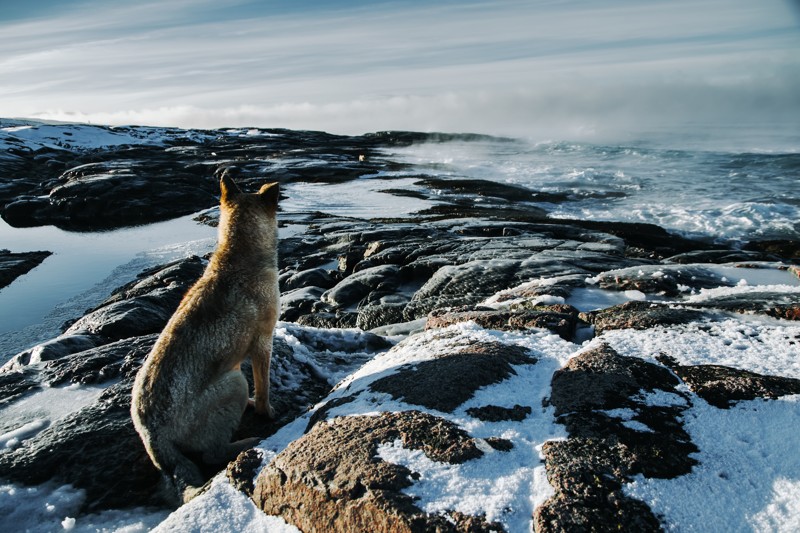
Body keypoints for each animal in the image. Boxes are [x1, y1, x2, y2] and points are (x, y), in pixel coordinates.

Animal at [132, 175, 282, 502]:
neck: (237, 255)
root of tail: (154, 438)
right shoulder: (263, 342)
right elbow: (264, 388)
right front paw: (267, 412)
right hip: (235, 383)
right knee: (213, 453)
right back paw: (247, 441)